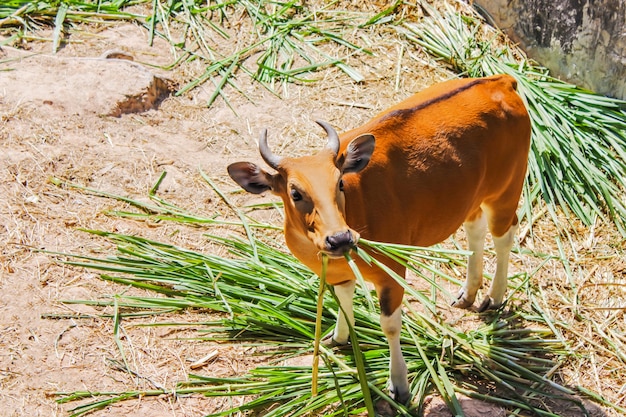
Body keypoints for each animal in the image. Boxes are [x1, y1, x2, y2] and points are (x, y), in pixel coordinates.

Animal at [227, 75, 528, 404]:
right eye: (295, 192)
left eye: (340, 183)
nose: (340, 239)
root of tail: (501, 81)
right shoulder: (339, 273)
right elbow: (344, 300)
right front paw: (339, 337)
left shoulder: (392, 272)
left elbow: (390, 325)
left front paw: (399, 384)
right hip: (472, 198)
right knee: (476, 230)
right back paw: (468, 293)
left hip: (506, 191)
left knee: (504, 234)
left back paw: (493, 297)